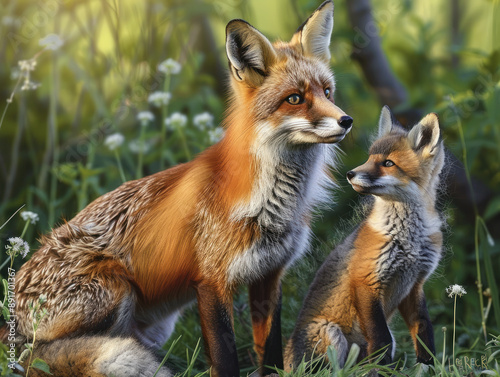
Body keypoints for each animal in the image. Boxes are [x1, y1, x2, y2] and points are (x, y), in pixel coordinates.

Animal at [6, 1, 352, 374]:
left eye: (327, 92)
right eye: (295, 98)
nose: (346, 120)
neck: (273, 204)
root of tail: (11, 316)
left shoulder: (269, 275)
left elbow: (270, 351)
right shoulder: (212, 282)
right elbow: (225, 358)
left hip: (155, 324)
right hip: (116, 289)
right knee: (45, 355)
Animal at [284, 106, 444, 370]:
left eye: (388, 163)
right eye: (369, 158)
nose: (350, 174)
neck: (408, 240)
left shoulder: (415, 285)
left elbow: (424, 331)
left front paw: (429, 367)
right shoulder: (366, 280)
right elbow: (381, 340)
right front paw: (380, 370)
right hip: (331, 333)